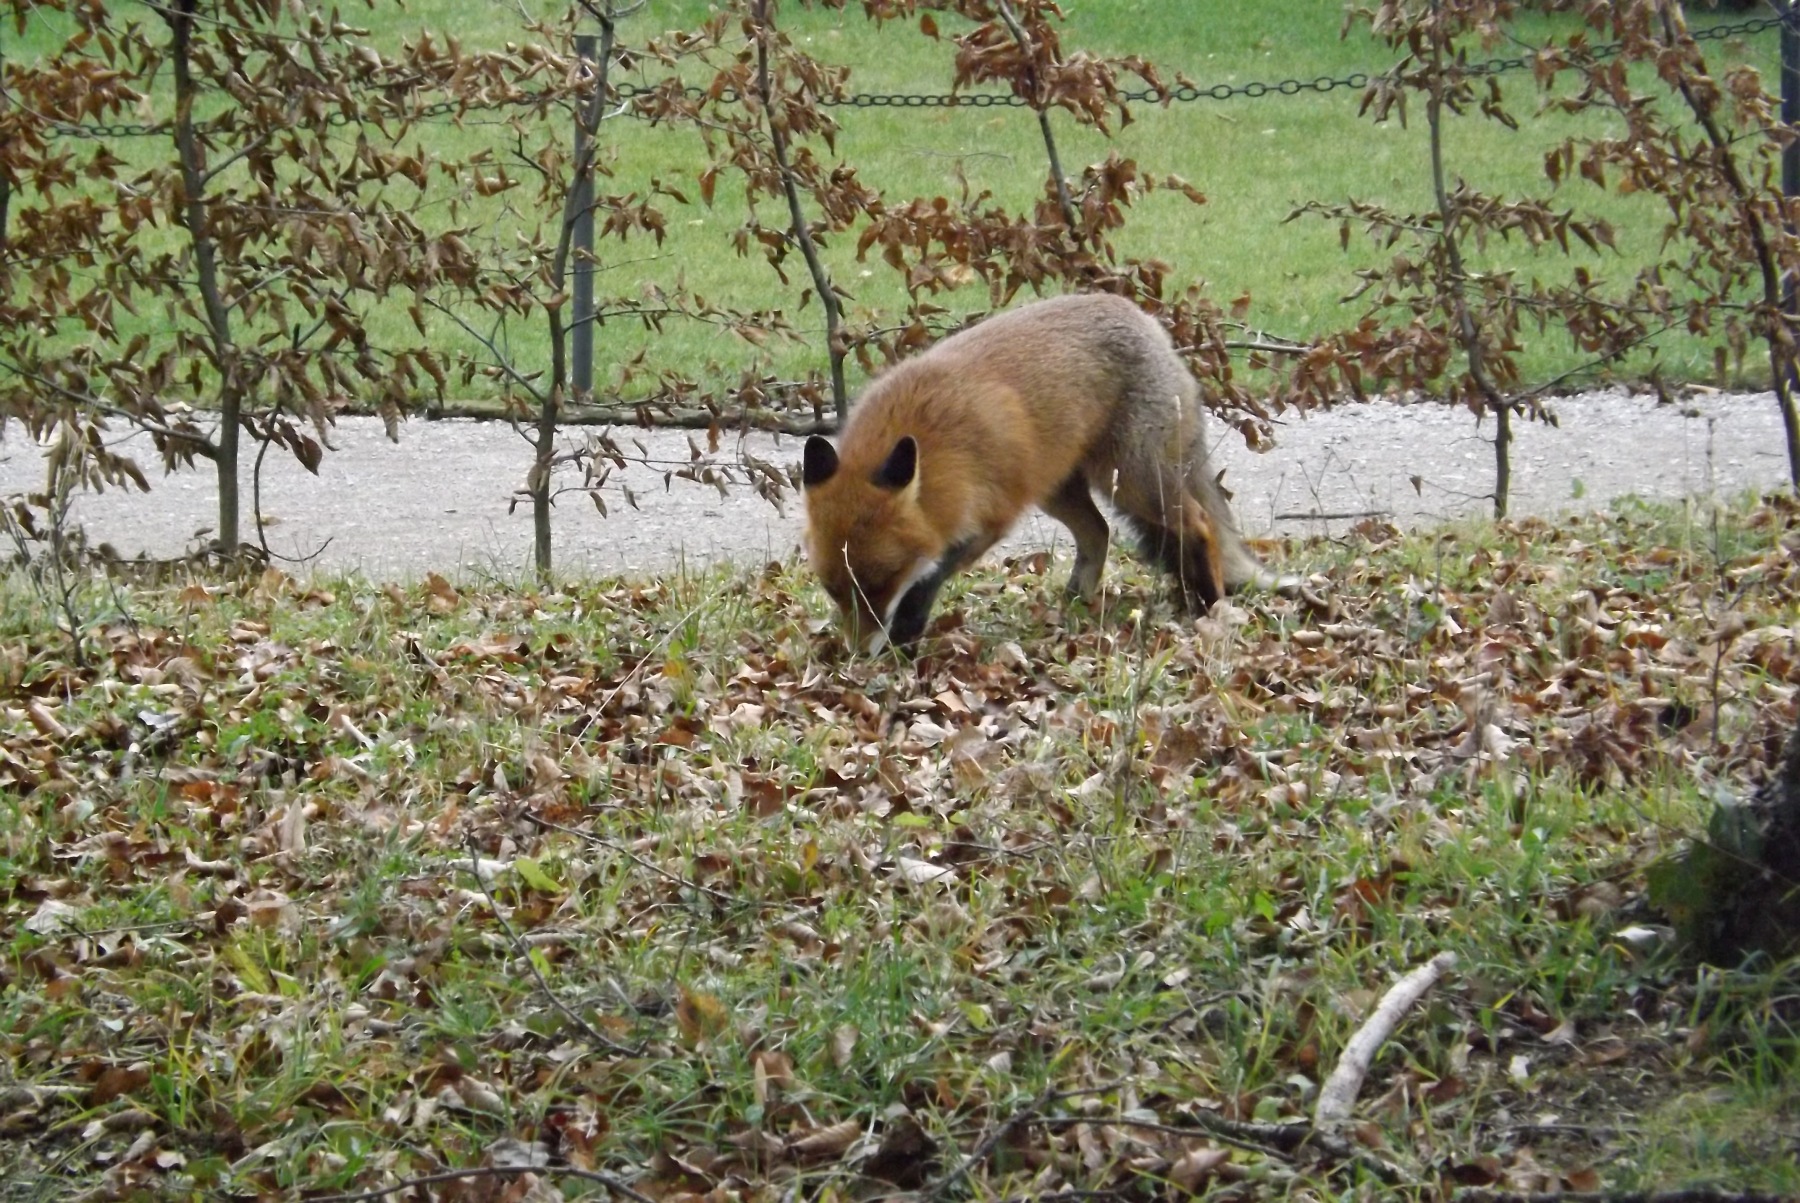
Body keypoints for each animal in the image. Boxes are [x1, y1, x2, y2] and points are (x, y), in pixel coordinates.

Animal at [801, 292, 1267, 654]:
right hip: (1058, 488)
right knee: (1099, 533)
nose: (857, 653)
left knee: (1200, 524)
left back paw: (1209, 604)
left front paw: (904, 636)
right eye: (833, 589)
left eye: (881, 584)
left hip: (1134, 481)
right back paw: (1074, 604)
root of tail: (1148, 320)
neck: (936, 451)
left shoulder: (991, 516)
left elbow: (925, 582)